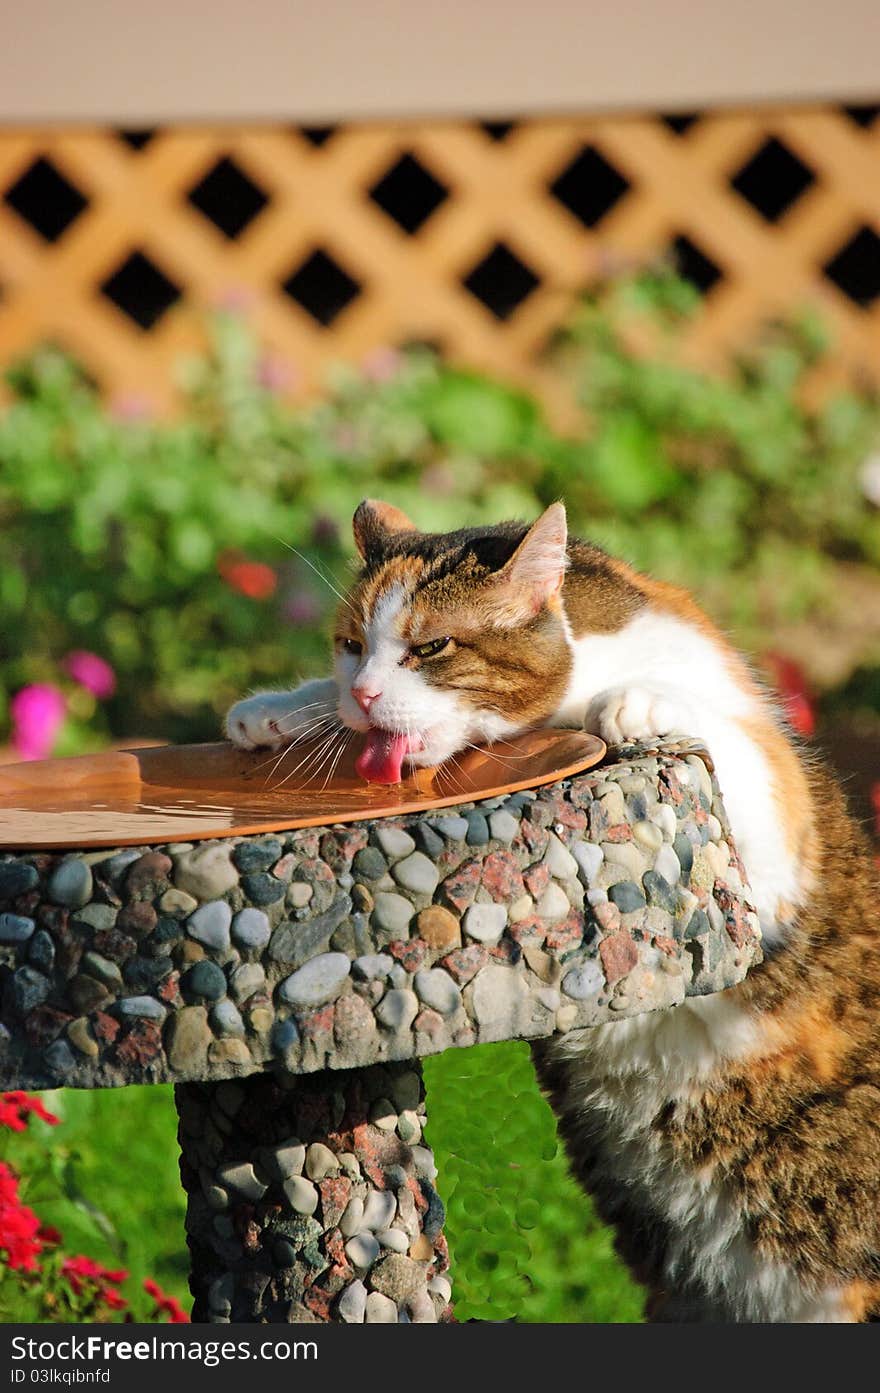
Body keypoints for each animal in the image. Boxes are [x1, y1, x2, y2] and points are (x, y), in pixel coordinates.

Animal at [225, 501, 880, 1326]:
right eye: (350, 645)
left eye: (431, 646)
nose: (365, 694)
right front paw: (281, 709)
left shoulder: (770, 839)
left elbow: (712, 726)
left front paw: (633, 701)